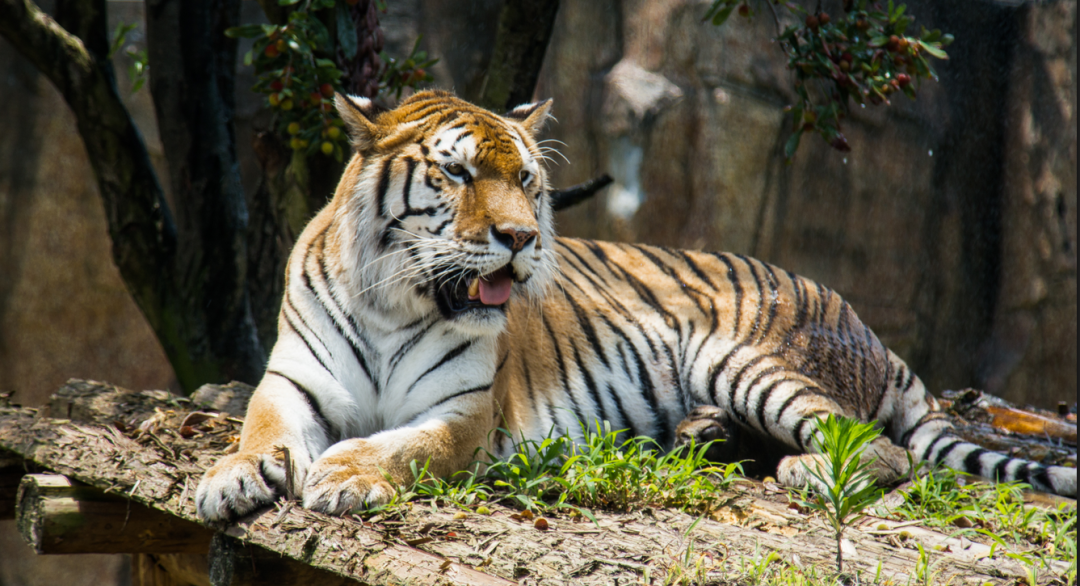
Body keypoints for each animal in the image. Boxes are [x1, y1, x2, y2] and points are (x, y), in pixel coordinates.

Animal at [194, 90, 1071, 522]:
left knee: (878, 449)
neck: (396, 303)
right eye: (458, 173)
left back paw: (804, 470)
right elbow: (258, 427)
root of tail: (871, 330)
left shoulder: (465, 413)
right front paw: (229, 480)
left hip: (743, 359)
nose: (519, 237)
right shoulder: (294, 382)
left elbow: (407, 446)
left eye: (526, 180)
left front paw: (345, 475)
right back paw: (701, 437)